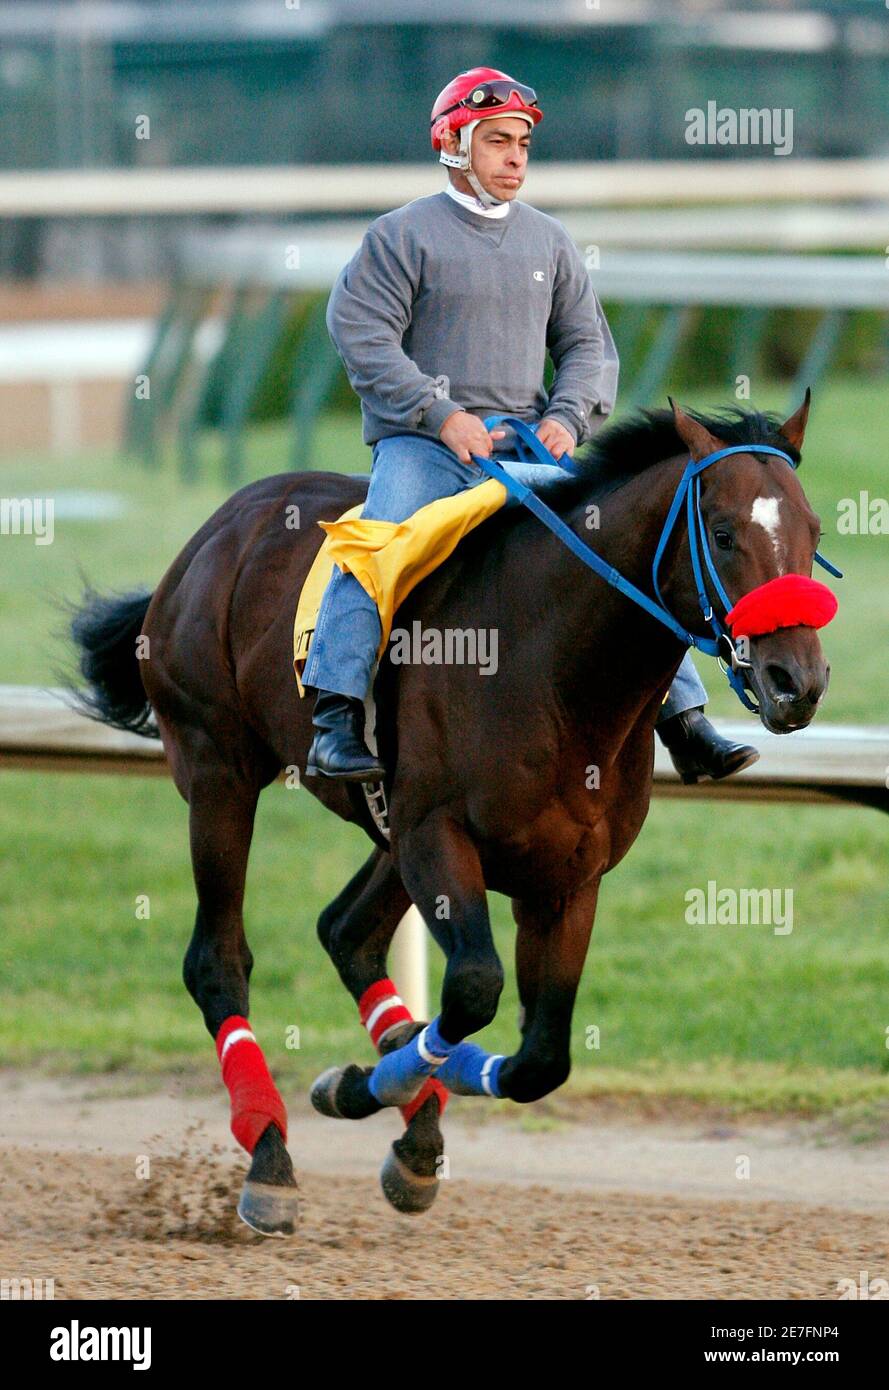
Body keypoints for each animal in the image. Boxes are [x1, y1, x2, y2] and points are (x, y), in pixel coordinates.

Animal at [71, 397, 833, 1234]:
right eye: (723, 534)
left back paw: (408, 1122)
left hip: (383, 825)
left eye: (812, 532)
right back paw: (271, 1158)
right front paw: (380, 1085)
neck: (552, 670)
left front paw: (382, 1094)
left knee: (346, 932)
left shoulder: (568, 874)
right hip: (220, 773)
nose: (796, 682)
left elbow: (540, 1058)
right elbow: (473, 986)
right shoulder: (438, 836)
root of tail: (214, 533)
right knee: (218, 960)